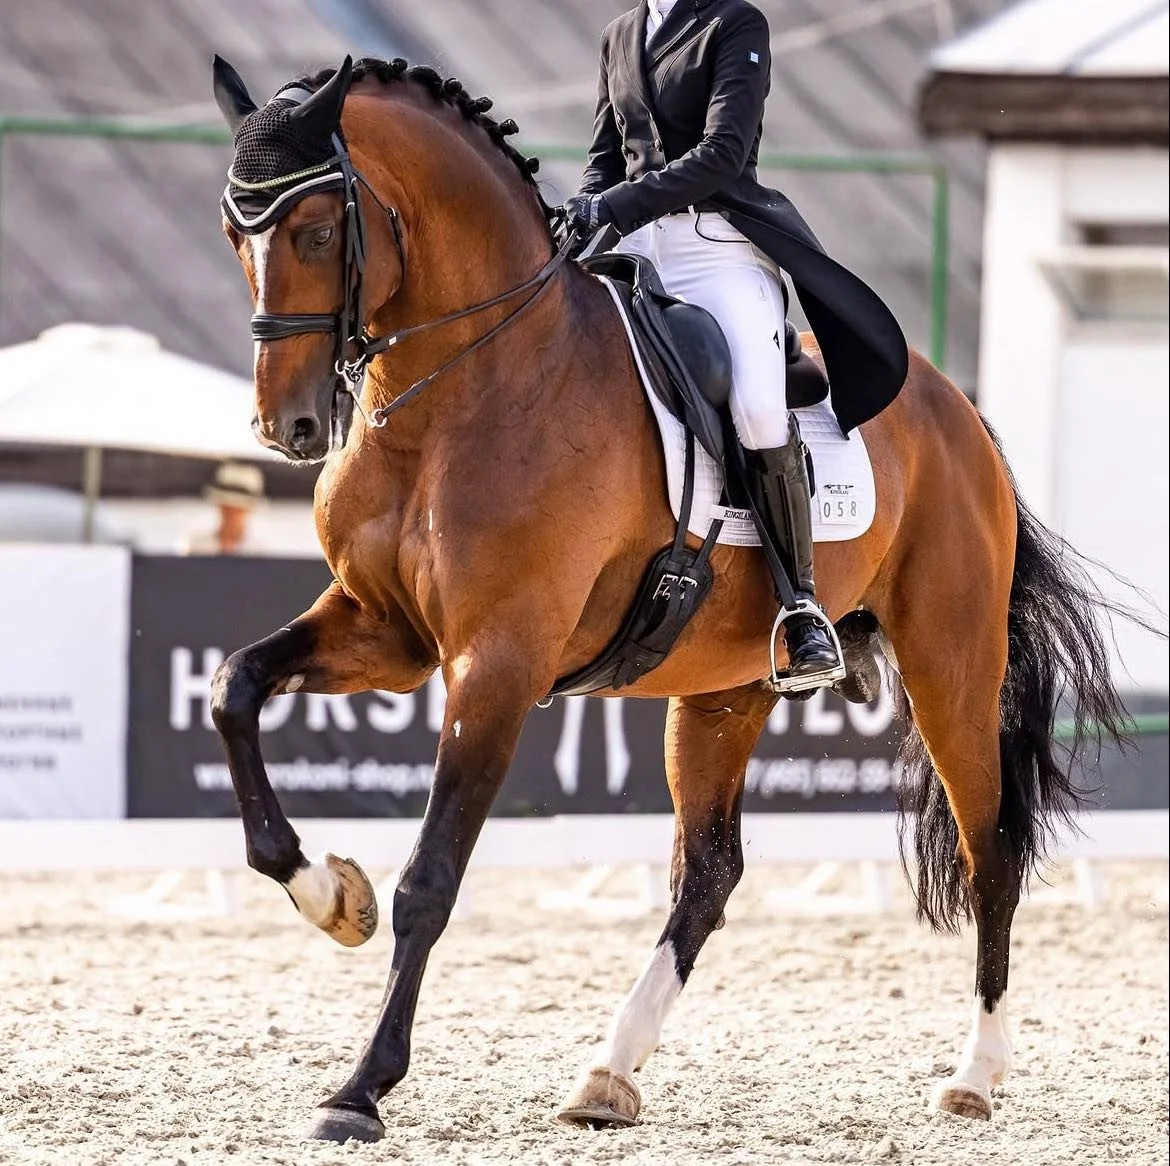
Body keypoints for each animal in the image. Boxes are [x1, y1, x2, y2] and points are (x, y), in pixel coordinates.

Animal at [209, 54, 1133, 1144]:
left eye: (316, 230)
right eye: (236, 234)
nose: (288, 426)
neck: (462, 390)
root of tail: (957, 410)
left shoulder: (497, 664)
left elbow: (432, 876)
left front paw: (360, 1088)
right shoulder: (385, 632)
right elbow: (233, 687)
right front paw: (328, 895)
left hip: (951, 664)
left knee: (989, 848)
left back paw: (976, 1074)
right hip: (726, 686)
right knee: (709, 873)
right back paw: (608, 1072)